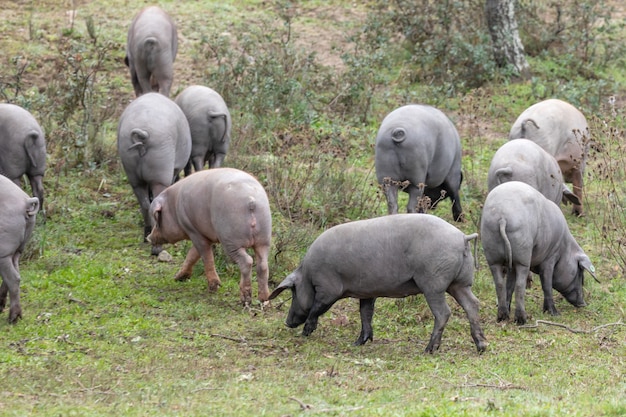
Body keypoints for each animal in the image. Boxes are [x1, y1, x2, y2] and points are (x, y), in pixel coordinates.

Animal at [0, 174, 39, 324]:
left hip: (3, 249)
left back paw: (13, 318)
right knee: (15, 272)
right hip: (18, 249)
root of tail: (25, 201)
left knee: (13, 278)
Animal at [117, 92, 190, 254]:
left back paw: (147, 236)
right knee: (155, 203)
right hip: (160, 175)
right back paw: (157, 247)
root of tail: (143, 135)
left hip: (133, 175)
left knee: (145, 204)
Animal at [149, 167, 272, 306]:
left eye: (157, 219)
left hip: (230, 240)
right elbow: (192, 255)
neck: (174, 206)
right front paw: (177, 278)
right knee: (263, 265)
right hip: (264, 237)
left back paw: (245, 300)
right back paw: (264, 300)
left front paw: (214, 288)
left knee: (247, 261)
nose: (149, 237)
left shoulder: (193, 230)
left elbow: (206, 257)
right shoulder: (201, 233)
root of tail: (251, 200)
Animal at [266, 213, 486, 352]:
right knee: (473, 304)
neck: (308, 273)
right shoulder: (367, 292)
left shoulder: (328, 288)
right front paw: (358, 343)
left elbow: (317, 308)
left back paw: (429, 349)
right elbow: (365, 314)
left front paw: (306, 333)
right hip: (460, 283)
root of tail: (462, 237)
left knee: (444, 313)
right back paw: (482, 346)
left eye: (293, 292)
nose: (287, 322)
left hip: (434, 284)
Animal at [478, 180, 596, 324]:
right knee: (520, 286)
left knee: (500, 284)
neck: (564, 248)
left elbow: (510, 285)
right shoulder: (550, 258)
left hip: (493, 254)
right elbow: (547, 284)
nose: (583, 304)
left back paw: (502, 317)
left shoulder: (512, 265)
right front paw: (554, 314)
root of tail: (502, 217)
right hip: (522, 256)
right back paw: (521, 320)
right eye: (580, 273)